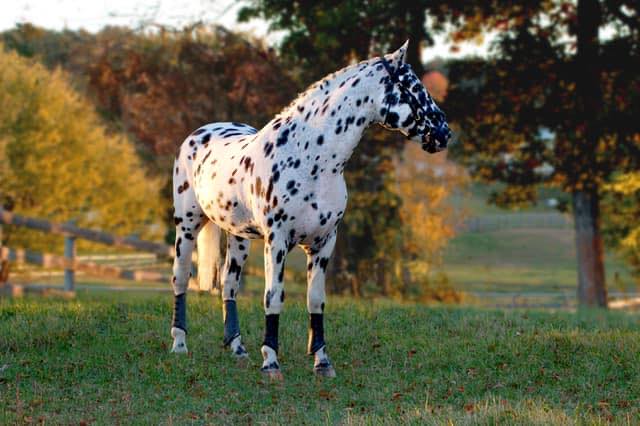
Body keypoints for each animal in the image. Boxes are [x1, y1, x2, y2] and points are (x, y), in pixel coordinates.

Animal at [169, 41, 452, 379]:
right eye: (413, 87)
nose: (444, 132)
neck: (310, 157)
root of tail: (198, 134)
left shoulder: (324, 242)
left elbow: (316, 300)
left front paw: (322, 362)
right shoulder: (277, 241)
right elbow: (273, 296)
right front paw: (271, 363)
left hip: (239, 237)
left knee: (228, 284)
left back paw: (237, 349)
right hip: (186, 227)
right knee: (180, 279)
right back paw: (179, 345)